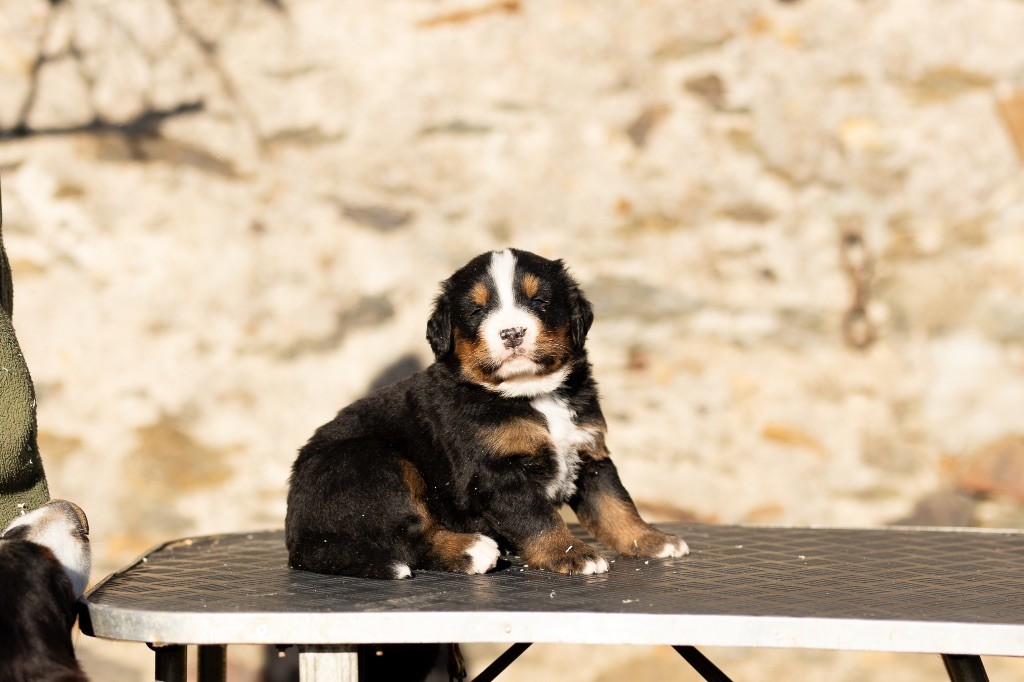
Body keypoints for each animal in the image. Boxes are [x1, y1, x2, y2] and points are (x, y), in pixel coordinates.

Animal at [286, 246, 688, 577]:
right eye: (477, 310)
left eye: (539, 300)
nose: (511, 333)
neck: (530, 393)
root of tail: (300, 537)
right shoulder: (496, 472)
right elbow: (538, 516)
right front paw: (571, 554)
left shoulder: (589, 453)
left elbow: (615, 504)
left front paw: (652, 540)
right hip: (375, 463)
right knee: (405, 534)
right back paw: (471, 551)